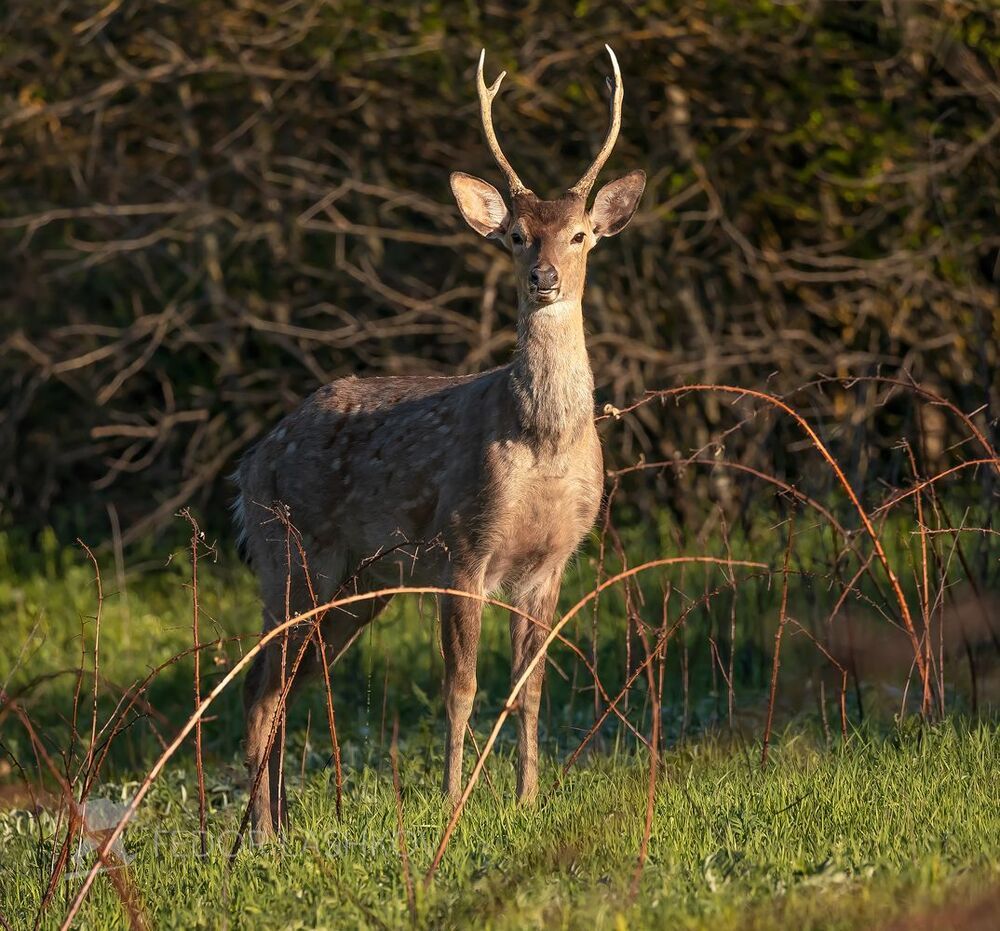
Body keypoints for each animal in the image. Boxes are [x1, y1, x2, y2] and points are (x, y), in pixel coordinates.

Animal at [234, 45, 645, 840]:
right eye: (516, 235)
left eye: (579, 234)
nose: (544, 278)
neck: (543, 444)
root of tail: (249, 465)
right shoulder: (463, 547)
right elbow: (461, 687)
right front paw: (456, 802)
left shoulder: (551, 563)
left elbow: (529, 689)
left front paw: (527, 798)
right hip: (289, 554)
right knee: (262, 686)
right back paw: (261, 836)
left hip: (359, 584)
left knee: (291, 681)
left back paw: (278, 827)